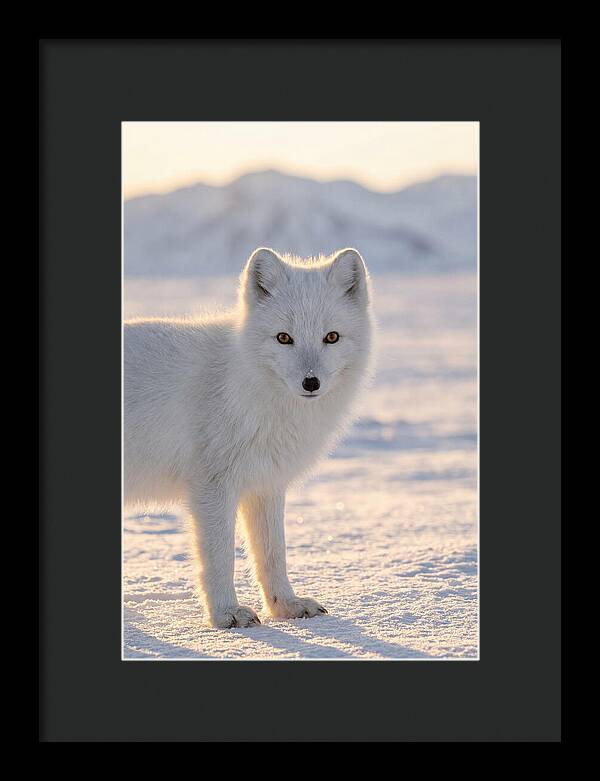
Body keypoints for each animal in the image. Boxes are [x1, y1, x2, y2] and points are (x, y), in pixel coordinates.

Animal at [124, 247, 374, 628]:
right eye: (284, 338)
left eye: (331, 337)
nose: (311, 382)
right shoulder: (212, 486)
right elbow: (220, 558)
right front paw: (226, 614)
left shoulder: (265, 483)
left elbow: (273, 554)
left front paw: (286, 606)